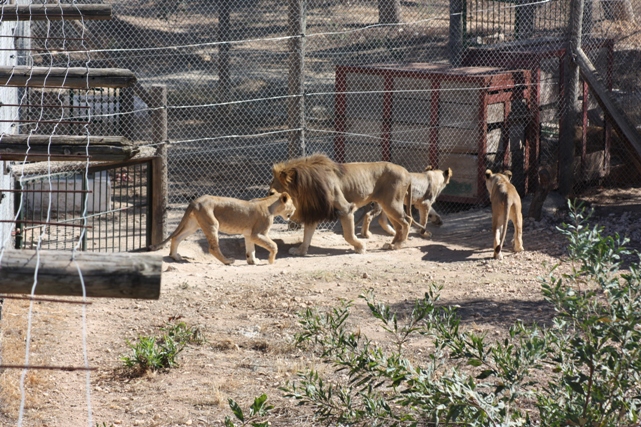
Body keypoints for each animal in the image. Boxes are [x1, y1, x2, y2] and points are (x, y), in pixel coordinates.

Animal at [148, 193, 296, 266]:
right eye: (292, 204)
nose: (295, 210)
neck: (271, 205)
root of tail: (195, 201)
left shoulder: (249, 234)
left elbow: (250, 250)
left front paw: (253, 261)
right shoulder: (258, 233)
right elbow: (274, 245)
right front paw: (270, 261)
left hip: (193, 225)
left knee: (176, 237)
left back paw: (175, 257)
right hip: (212, 223)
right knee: (213, 248)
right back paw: (227, 261)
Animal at [266, 153, 420, 256]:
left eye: (272, 192)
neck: (304, 188)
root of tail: (407, 172)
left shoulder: (345, 209)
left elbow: (348, 235)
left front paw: (360, 247)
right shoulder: (314, 211)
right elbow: (307, 235)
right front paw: (300, 251)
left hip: (392, 204)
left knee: (407, 221)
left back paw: (398, 245)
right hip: (389, 206)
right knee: (399, 226)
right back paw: (392, 244)